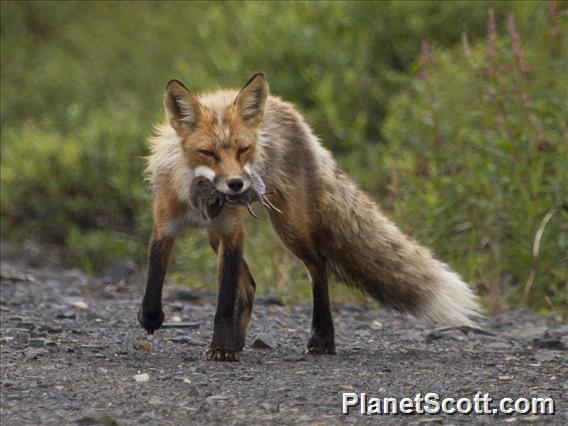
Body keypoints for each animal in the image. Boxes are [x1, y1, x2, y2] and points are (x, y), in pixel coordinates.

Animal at [139, 72, 480, 360]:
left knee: (319, 266)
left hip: (291, 227)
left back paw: (322, 339)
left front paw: (222, 347)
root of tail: (290, 112)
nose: (237, 185)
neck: (198, 197)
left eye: (243, 150)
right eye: (208, 153)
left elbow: (224, 299)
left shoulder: (232, 231)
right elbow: (154, 277)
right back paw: (240, 340)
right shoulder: (165, 226)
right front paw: (152, 318)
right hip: (218, 236)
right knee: (249, 286)